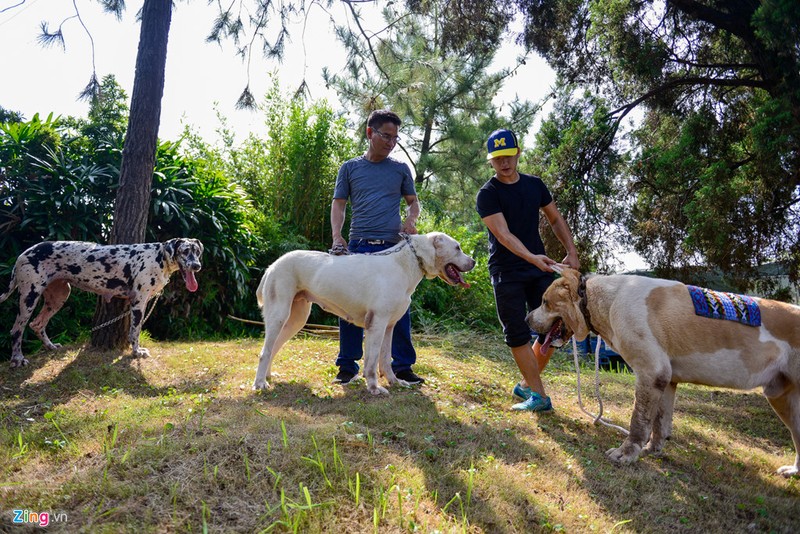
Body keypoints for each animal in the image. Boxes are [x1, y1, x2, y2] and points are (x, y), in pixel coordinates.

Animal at [253, 232, 472, 396]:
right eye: (457, 248)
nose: (474, 261)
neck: (407, 262)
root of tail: (273, 265)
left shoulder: (389, 326)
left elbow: (385, 359)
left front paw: (395, 381)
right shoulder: (377, 324)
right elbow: (372, 361)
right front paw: (374, 388)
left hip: (295, 319)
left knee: (273, 347)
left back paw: (267, 377)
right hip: (279, 314)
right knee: (265, 351)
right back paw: (259, 384)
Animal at [524, 270, 800, 480]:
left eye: (545, 302)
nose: (527, 318)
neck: (606, 301)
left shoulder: (651, 372)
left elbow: (639, 420)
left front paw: (627, 453)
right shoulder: (666, 381)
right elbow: (659, 422)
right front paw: (652, 450)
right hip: (782, 398)